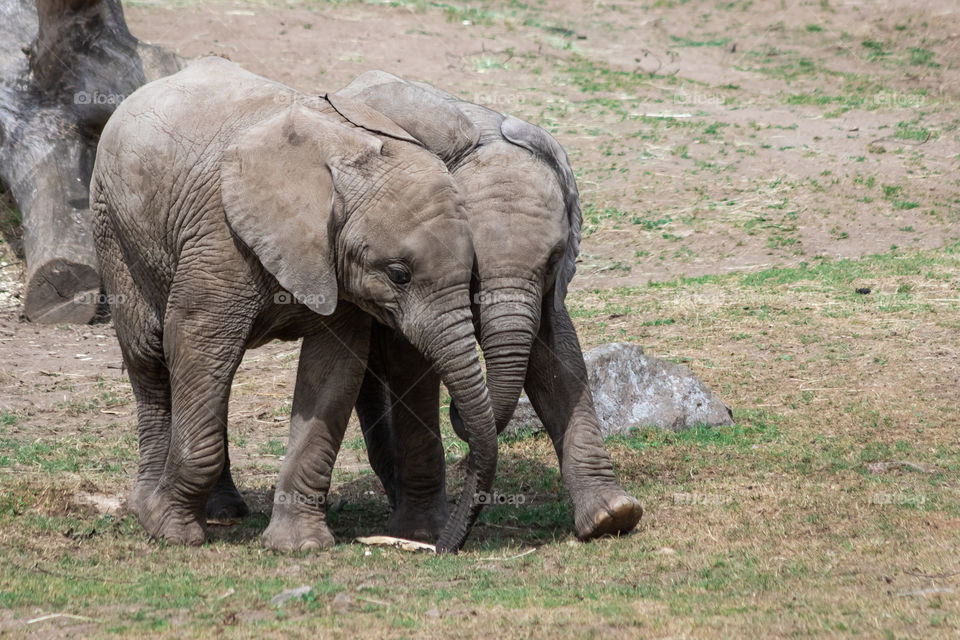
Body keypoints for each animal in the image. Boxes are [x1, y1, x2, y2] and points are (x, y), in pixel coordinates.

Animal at [89, 57, 498, 553]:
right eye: (399, 274)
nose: (441, 549)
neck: (342, 165)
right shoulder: (222, 239)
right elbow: (196, 341)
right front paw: (169, 532)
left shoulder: (334, 266)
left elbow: (333, 372)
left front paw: (299, 547)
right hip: (111, 224)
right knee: (151, 354)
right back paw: (149, 506)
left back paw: (222, 511)